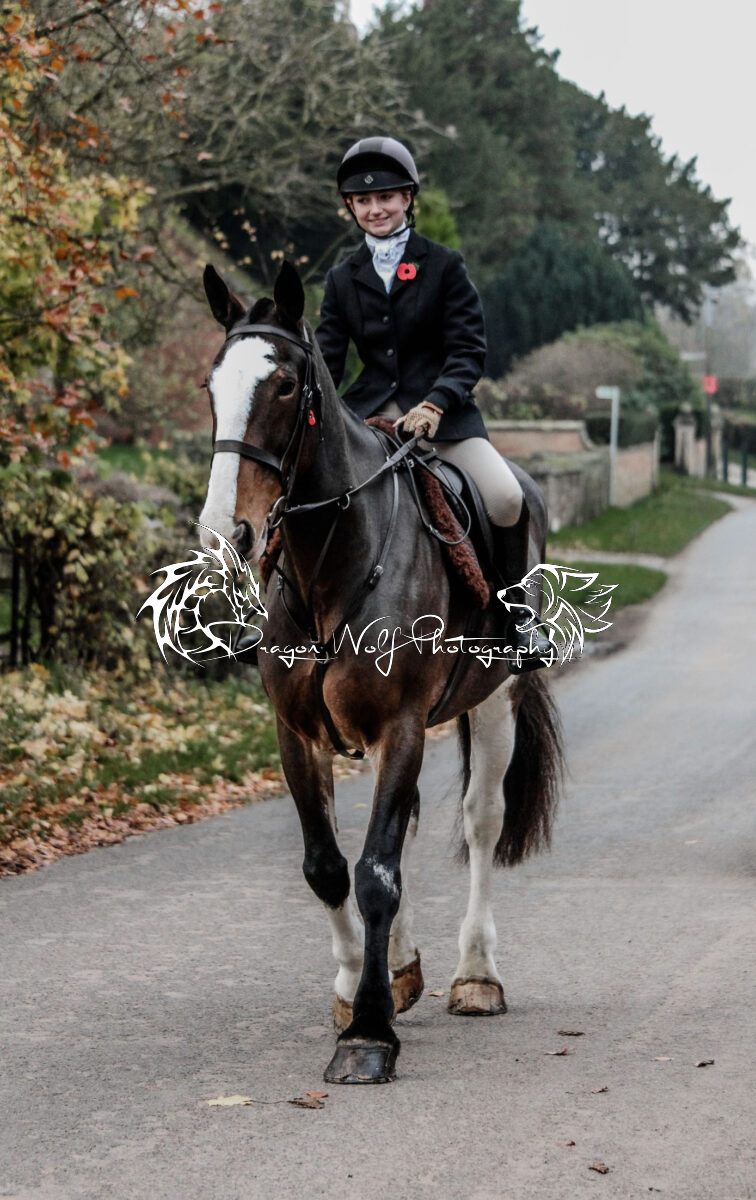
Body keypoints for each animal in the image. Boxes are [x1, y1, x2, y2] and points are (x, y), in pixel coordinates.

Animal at [198, 259, 563, 1084]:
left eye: (286, 386)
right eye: (212, 387)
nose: (227, 532)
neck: (331, 559)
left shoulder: (401, 727)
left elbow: (377, 872)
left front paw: (368, 1034)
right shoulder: (298, 733)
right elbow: (331, 866)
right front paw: (355, 990)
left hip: (495, 699)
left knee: (479, 822)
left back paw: (475, 976)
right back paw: (399, 968)